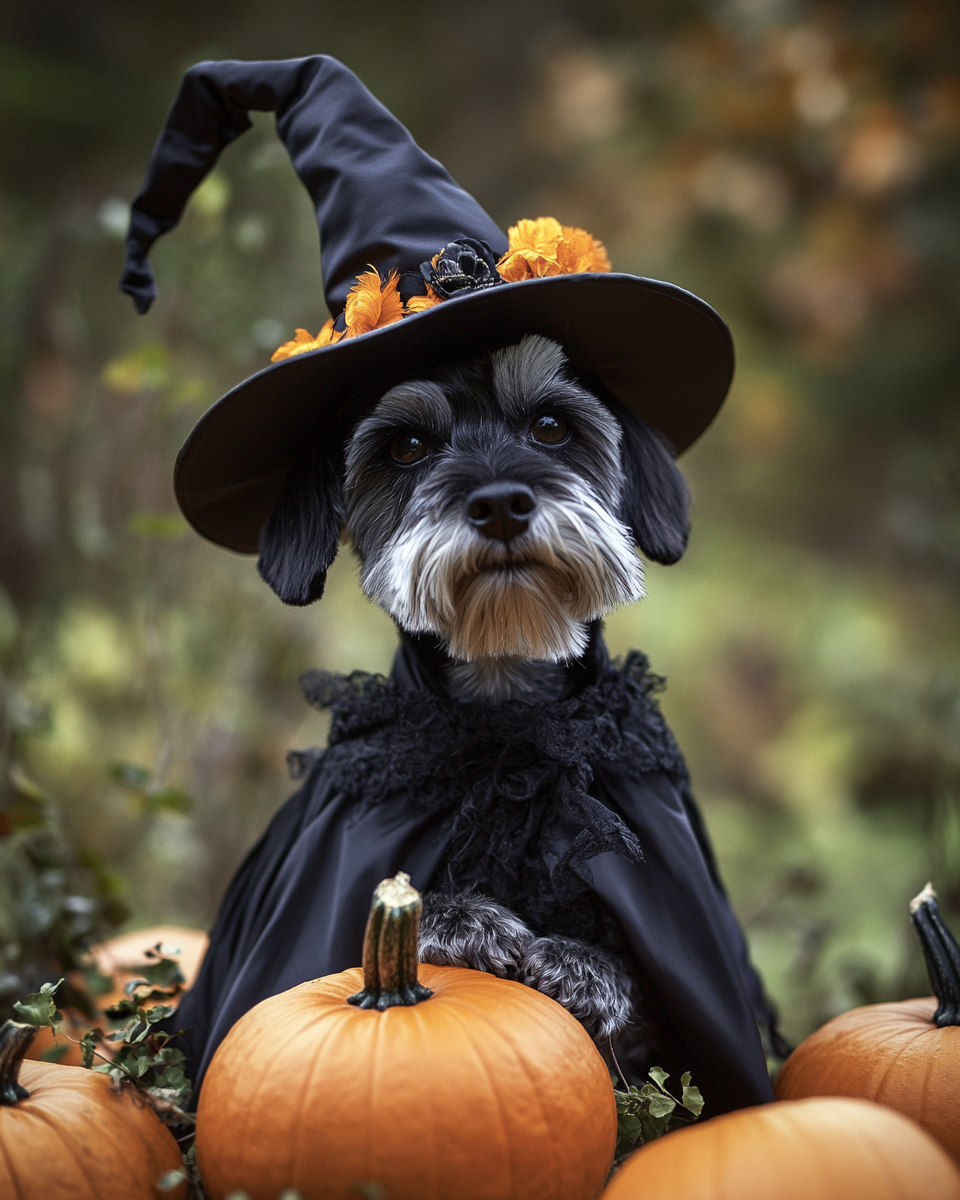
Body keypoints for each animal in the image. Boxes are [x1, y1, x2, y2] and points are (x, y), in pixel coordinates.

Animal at [254, 333, 691, 1046]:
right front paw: (464, 919)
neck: (505, 722)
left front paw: (586, 966)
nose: (501, 505)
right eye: (406, 446)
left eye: (551, 425)